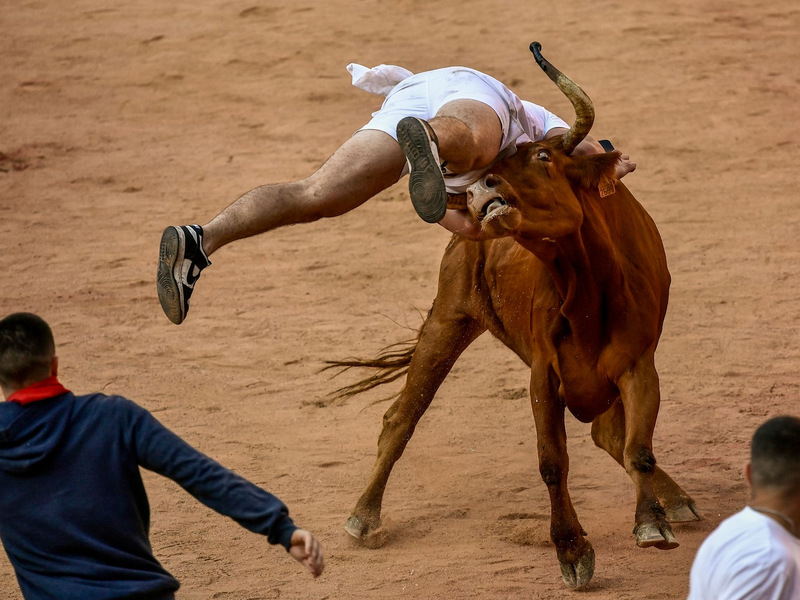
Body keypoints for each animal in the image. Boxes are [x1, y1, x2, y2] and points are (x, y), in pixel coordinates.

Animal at [329, 43, 700, 589]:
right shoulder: (544, 374)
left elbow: (637, 447)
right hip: (449, 319)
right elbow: (552, 461)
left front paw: (650, 521)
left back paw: (676, 501)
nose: (479, 189)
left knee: (611, 437)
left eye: (544, 156)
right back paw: (363, 515)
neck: (589, 288)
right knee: (401, 417)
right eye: (503, 160)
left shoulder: (638, 366)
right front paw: (571, 549)